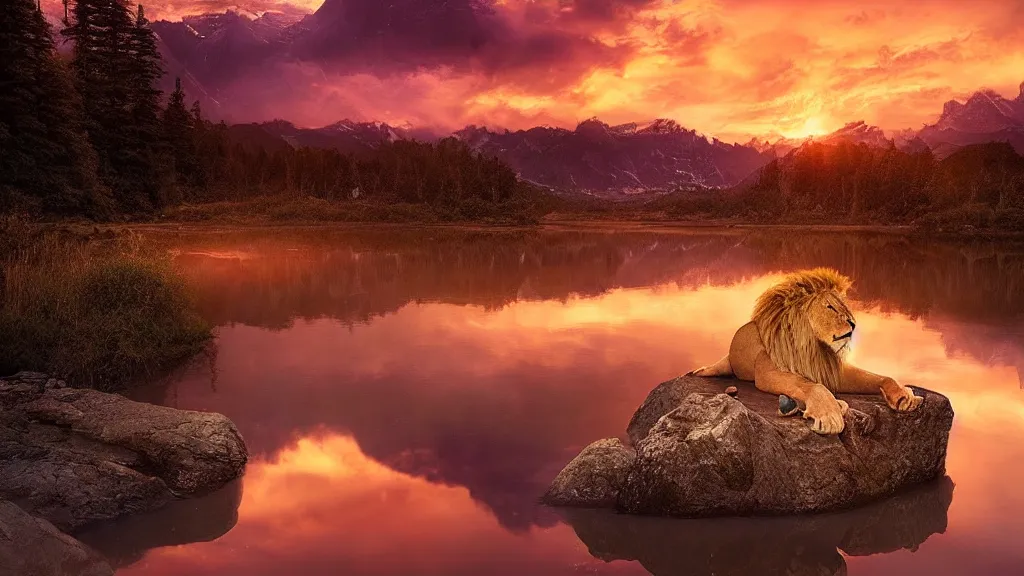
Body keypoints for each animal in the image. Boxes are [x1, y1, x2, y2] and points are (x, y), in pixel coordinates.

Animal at [692, 266, 925, 432]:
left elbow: (881, 377)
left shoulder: (830, 370)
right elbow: (813, 387)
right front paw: (829, 416)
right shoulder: (769, 372)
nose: (853, 323)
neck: (813, 347)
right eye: (830, 307)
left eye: (842, 304)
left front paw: (904, 397)